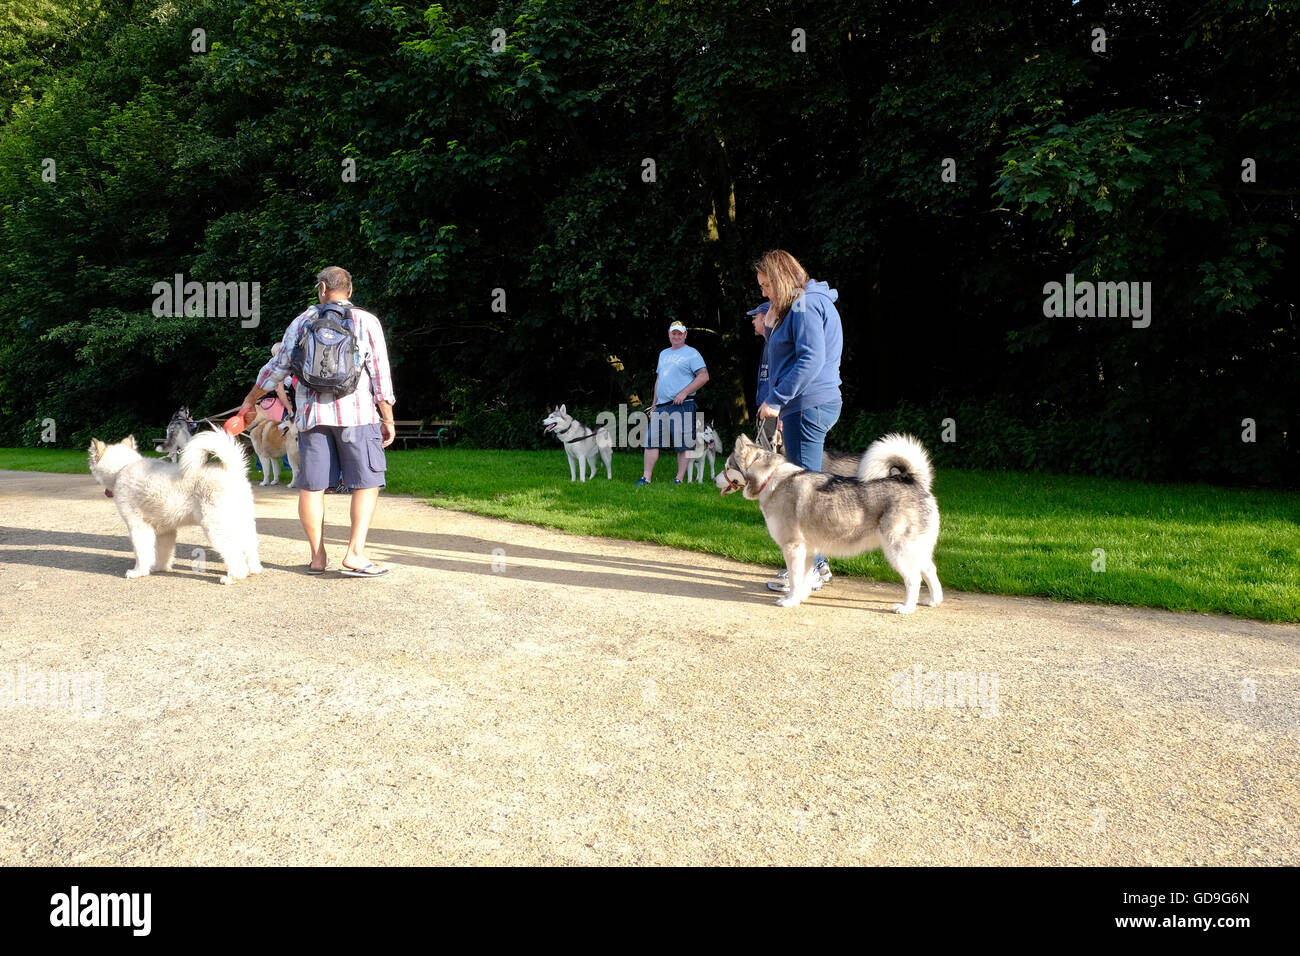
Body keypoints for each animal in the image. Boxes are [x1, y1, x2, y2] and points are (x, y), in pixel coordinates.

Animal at [88, 429, 261, 582]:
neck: (122, 468)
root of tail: (232, 470)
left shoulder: (137, 527)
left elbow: (141, 552)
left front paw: (138, 572)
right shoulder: (166, 531)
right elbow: (163, 553)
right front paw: (159, 568)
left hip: (215, 527)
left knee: (235, 554)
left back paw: (233, 577)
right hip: (243, 524)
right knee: (250, 547)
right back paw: (254, 569)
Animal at [717, 434, 941, 613]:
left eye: (727, 466)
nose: (713, 479)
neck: (771, 478)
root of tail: (912, 480)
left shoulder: (792, 548)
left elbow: (794, 579)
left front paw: (789, 600)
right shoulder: (807, 550)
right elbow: (804, 578)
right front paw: (800, 597)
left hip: (898, 550)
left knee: (914, 580)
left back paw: (906, 608)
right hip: (915, 550)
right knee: (930, 571)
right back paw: (934, 600)